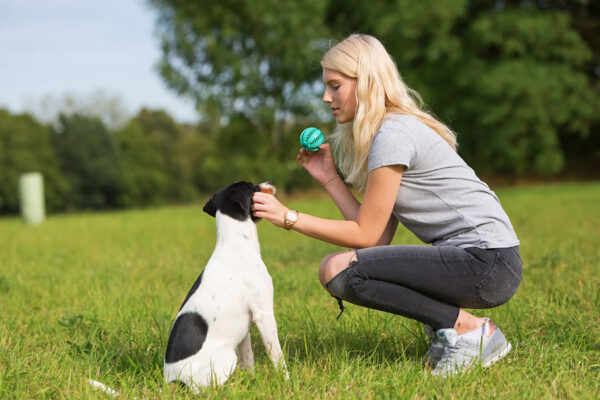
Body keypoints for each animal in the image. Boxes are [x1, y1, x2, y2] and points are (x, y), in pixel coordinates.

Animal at [163, 180, 288, 390]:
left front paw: (252, 382)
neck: (236, 244)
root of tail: (172, 380)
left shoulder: (245, 326)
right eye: (253, 186)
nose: (270, 182)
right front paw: (287, 380)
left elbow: (248, 359)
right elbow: (277, 356)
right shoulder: (264, 315)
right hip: (227, 356)